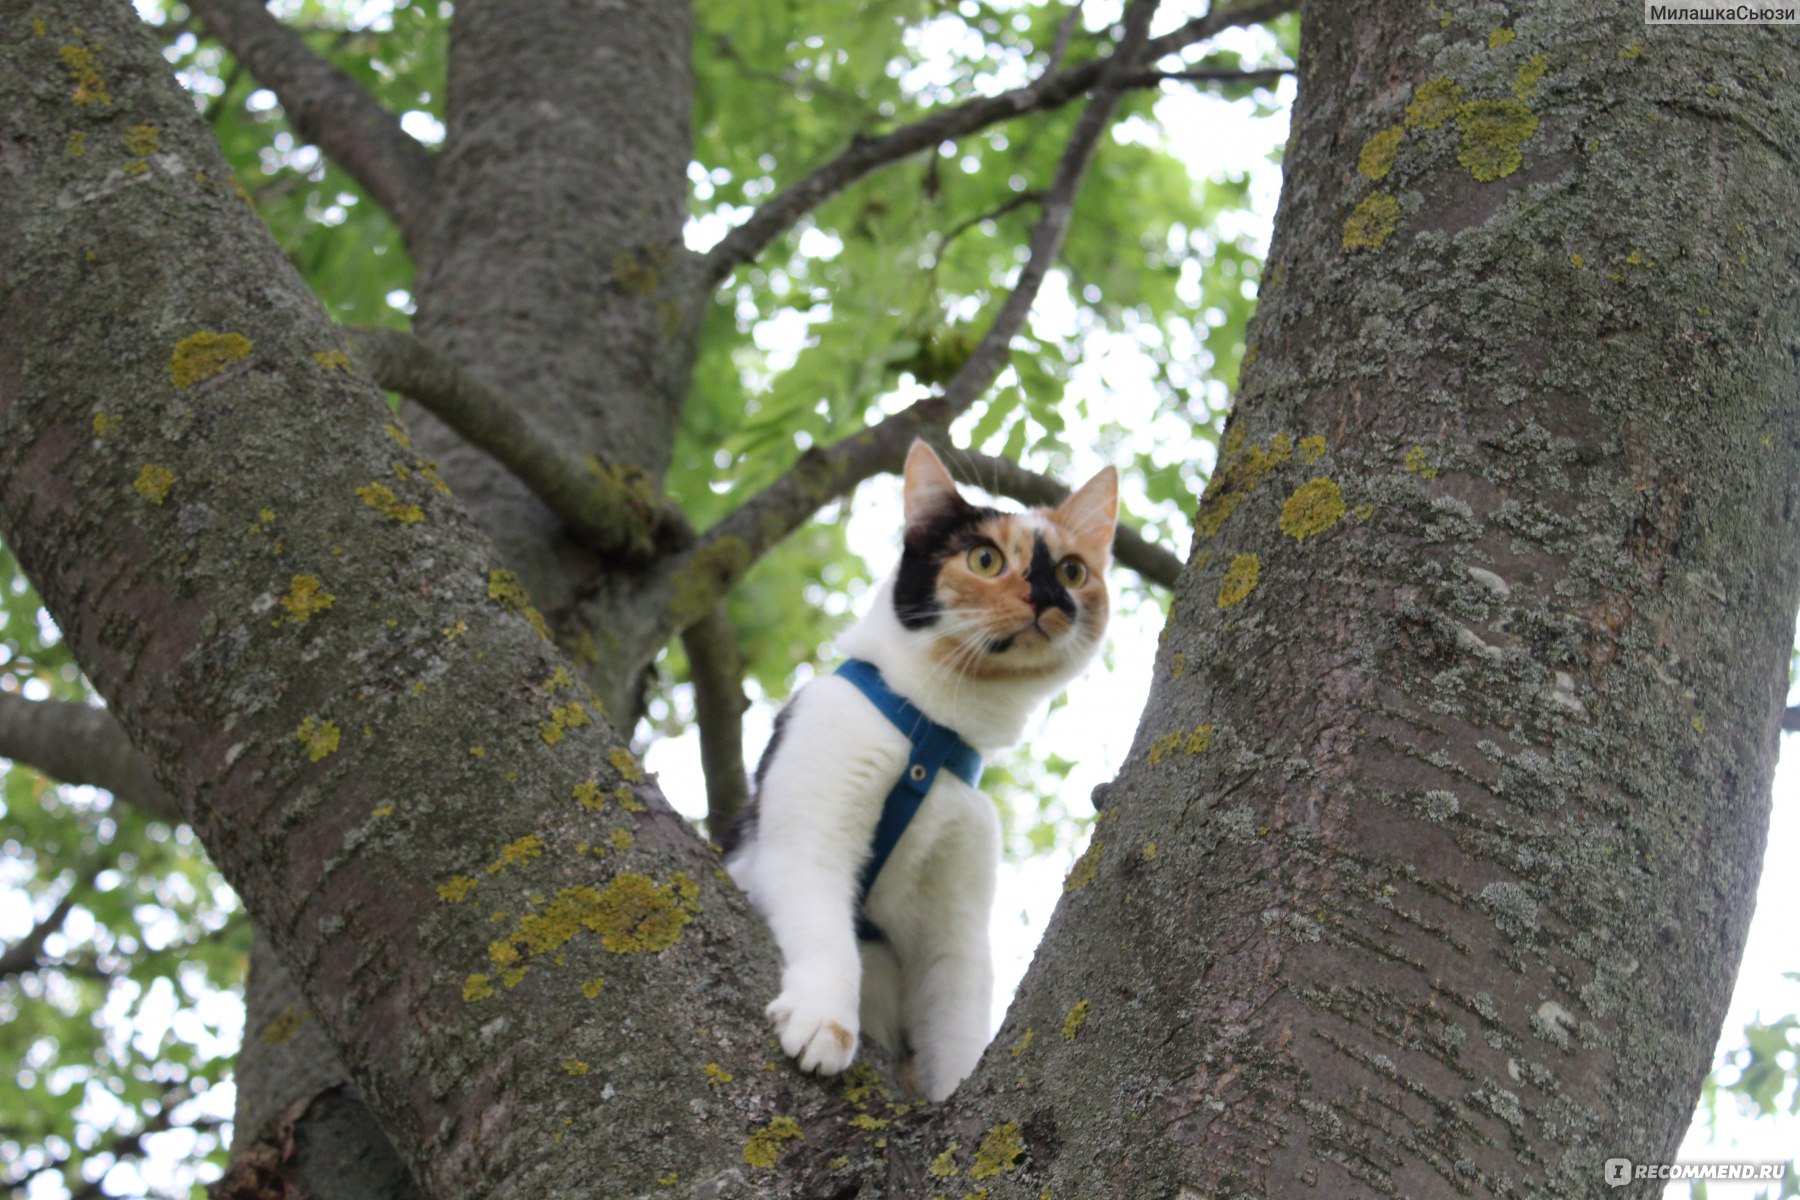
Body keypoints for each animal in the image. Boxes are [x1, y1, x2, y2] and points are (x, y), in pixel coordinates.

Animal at [723, 437, 1116, 1101]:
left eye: (1072, 571)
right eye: (984, 559)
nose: (1049, 596)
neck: (928, 732)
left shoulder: (955, 927)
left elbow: (956, 1021)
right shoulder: (804, 840)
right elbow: (828, 930)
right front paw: (824, 1023)